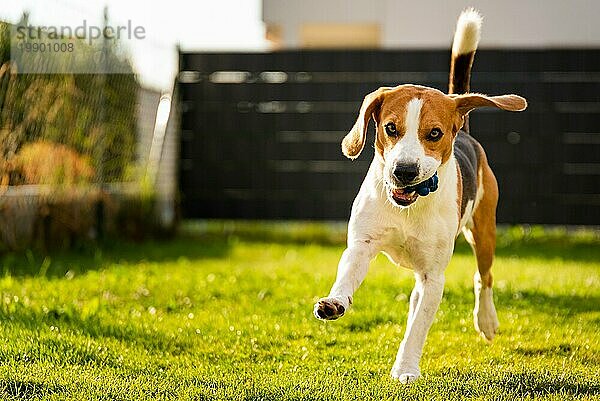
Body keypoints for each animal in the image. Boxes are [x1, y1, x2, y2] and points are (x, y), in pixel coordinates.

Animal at [314, 9, 524, 382]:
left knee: (483, 277)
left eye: (435, 133)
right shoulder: (362, 246)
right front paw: (335, 302)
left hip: (484, 232)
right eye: (390, 128)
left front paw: (406, 367)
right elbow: (347, 277)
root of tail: (464, 131)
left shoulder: (434, 277)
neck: (407, 206)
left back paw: (486, 320)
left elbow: (418, 328)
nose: (404, 171)